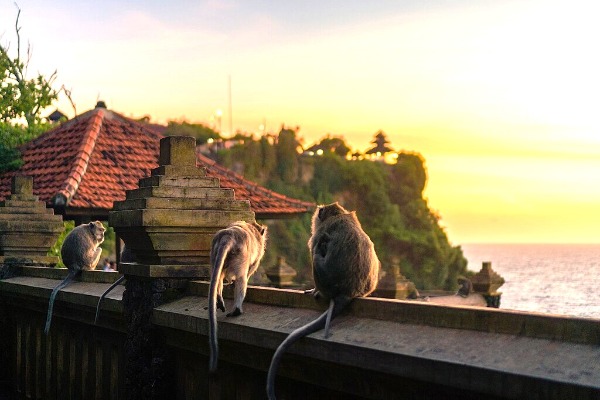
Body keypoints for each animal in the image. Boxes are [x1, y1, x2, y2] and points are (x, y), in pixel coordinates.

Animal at [210, 220, 268, 374]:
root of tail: (228, 236)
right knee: (242, 278)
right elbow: (251, 269)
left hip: (216, 254)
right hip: (240, 257)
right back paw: (236, 309)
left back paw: (219, 299)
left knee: (218, 275)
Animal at [268, 203, 380, 400]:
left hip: (324, 278)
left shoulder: (317, 235)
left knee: (316, 253)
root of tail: (348, 292)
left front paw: (313, 290)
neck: (338, 215)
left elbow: (317, 243)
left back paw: (318, 289)